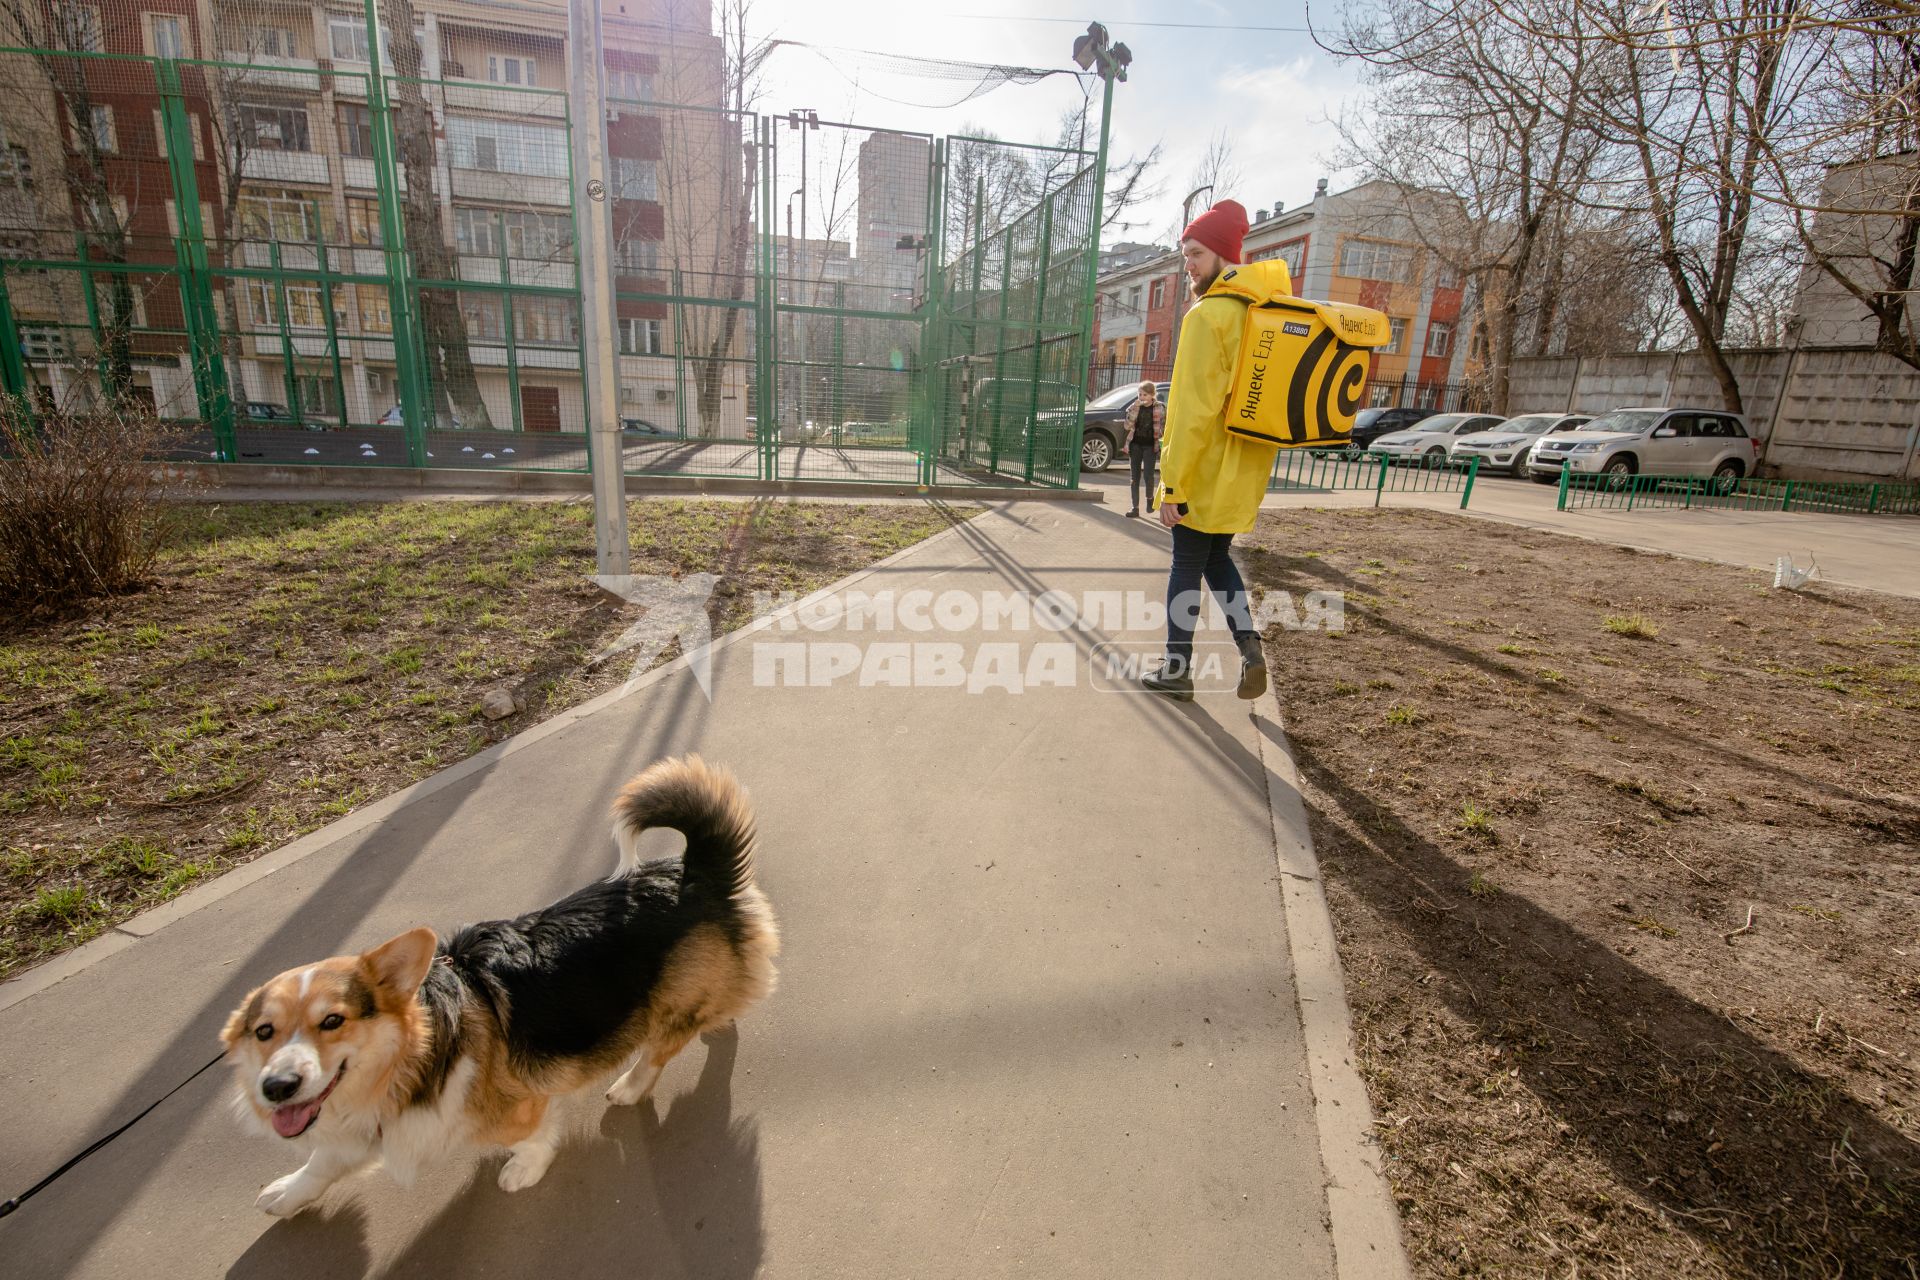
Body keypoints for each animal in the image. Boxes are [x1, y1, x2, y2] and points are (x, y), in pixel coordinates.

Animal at [216, 756, 771, 1220]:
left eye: (333, 1020)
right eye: (264, 1032)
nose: (276, 1087)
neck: (416, 1055)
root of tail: (697, 871)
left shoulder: (511, 1107)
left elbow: (529, 1135)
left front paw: (524, 1170)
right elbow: (321, 1163)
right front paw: (287, 1193)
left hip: (669, 1006)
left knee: (659, 1049)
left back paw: (631, 1085)